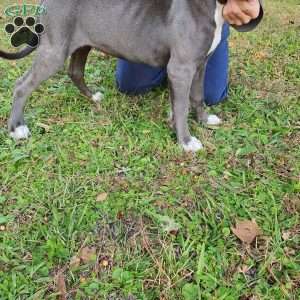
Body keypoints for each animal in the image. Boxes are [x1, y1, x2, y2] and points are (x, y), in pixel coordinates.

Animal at [0, 0, 227, 152]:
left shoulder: (200, 64)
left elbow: (197, 96)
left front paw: (204, 119)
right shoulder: (181, 69)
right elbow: (181, 107)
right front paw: (186, 142)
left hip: (81, 44)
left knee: (75, 72)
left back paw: (93, 97)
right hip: (54, 51)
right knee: (22, 86)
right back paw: (16, 129)